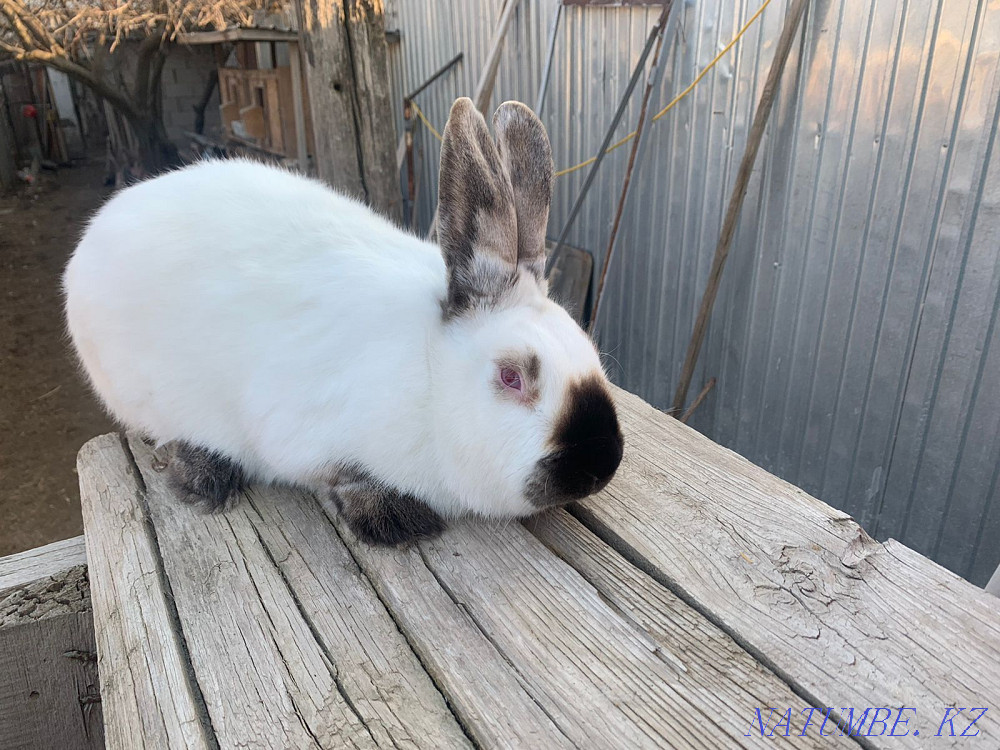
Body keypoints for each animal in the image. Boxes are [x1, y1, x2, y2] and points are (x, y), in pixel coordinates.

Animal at [63, 97, 624, 546]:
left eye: (589, 349)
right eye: (511, 377)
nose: (600, 466)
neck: (432, 377)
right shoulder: (300, 436)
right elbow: (337, 476)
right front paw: (396, 521)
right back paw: (205, 477)